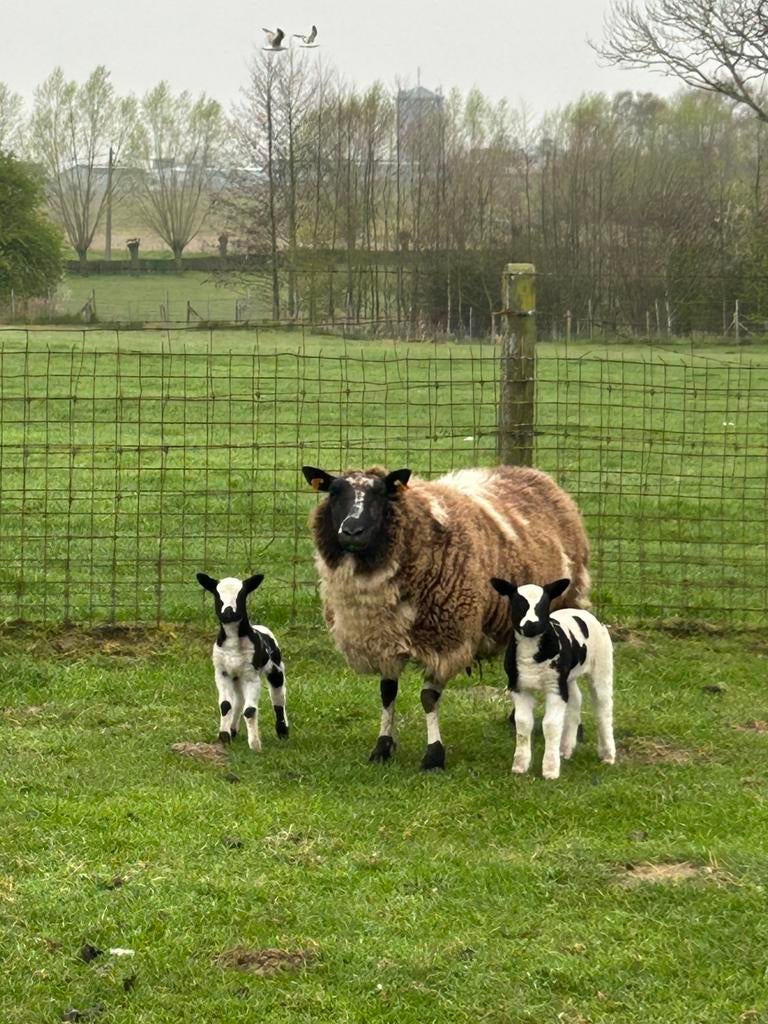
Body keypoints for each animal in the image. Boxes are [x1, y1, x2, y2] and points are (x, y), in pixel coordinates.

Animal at [196, 573, 289, 750]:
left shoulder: (251, 676)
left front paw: (255, 745)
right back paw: (233, 729)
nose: (228, 613)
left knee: (278, 698)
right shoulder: (222, 673)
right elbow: (226, 705)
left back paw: (283, 732)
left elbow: (250, 710)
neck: (233, 642)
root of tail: (262, 628)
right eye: (217, 595)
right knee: (238, 700)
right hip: (237, 676)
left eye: (242, 595)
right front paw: (224, 737)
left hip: (276, 668)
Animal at [301, 463, 590, 770]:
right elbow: (387, 693)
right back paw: (516, 718)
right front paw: (382, 747)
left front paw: (434, 754)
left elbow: (428, 698)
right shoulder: (385, 640)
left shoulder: (446, 640)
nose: (352, 531)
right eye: (334, 493)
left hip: (566, 605)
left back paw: (575, 728)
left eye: (381, 494)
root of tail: (536, 474)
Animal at [490, 577, 615, 779]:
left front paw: (550, 769)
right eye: (518, 603)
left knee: (603, 708)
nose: (531, 625)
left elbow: (550, 725)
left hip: (602, 665)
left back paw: (608, 755)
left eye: (544, 605)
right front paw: (520, 765)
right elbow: (523, 724)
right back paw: (565, 749)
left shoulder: (554, 688)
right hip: (566, 677)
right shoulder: (519, 687)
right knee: (575, 700)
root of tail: (581, 612)